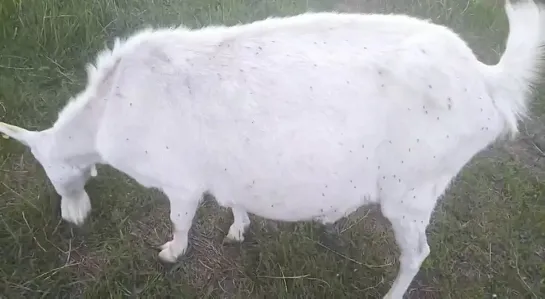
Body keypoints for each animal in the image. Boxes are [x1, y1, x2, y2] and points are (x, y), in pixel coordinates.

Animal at [1, 1, 544, 298]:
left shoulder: (180, 180)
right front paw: (238, 229)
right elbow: (234, 201)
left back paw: (391, 294)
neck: (108, 112)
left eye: (54, 174)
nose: (71, 221)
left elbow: (179, 221)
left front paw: (170, 254)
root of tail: (488, 81)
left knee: (418, 252)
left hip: (412, 188)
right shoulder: (226, 172)